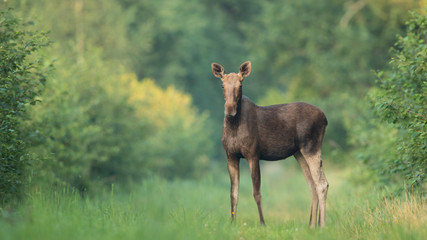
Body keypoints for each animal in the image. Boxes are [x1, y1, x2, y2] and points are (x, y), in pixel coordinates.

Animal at [212, 61, 330, 228]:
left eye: (241, 85)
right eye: (222, 85)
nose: (229, 109)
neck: (234, 127)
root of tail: (325, 119)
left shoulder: (253, 154)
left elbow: (256, 192)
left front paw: (263, 223)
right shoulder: (231, 156)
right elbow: (233, 193)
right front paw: (232, 223)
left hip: (311, 147)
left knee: (322, 184)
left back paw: (322, 225)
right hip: (299, 152)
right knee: (312, 185)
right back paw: (311, 226)